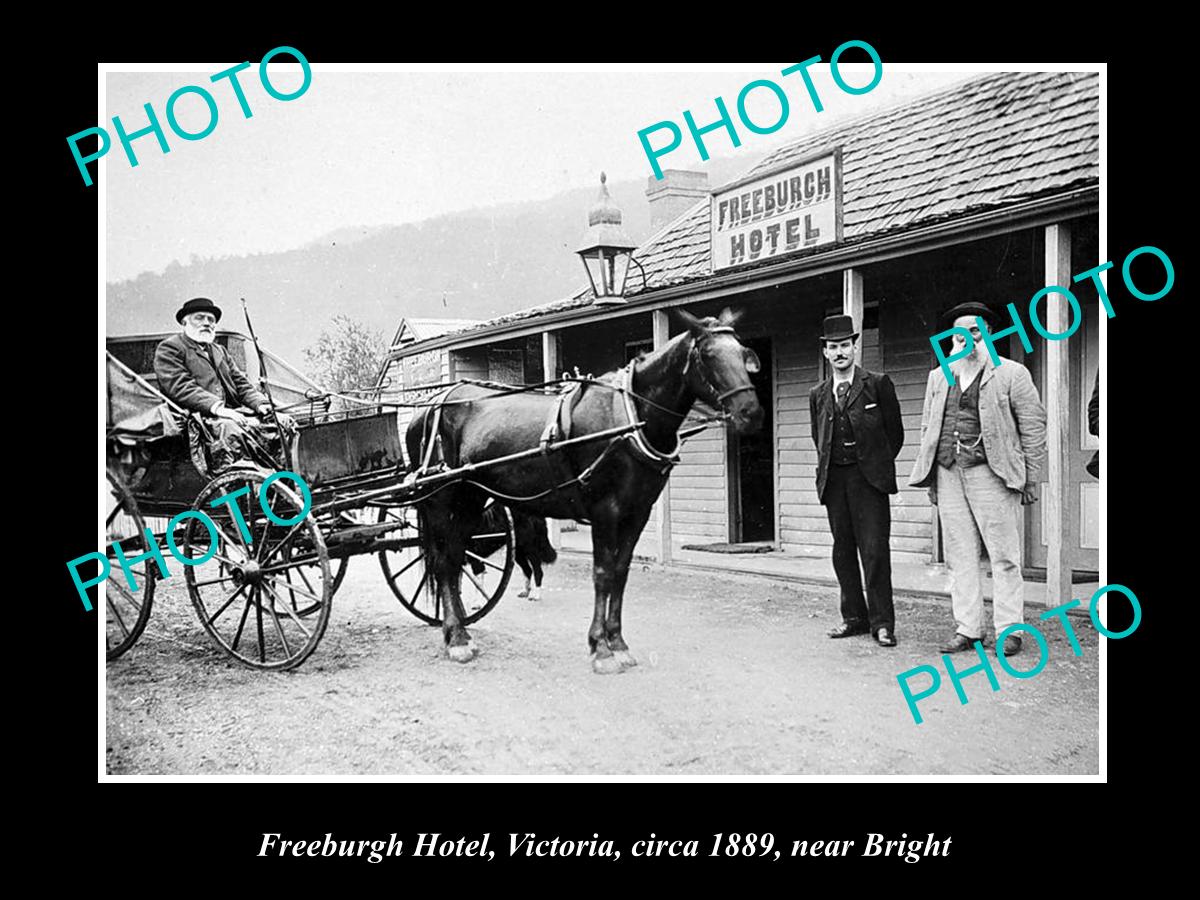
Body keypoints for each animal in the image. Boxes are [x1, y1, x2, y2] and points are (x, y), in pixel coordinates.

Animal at [408, 307, 763, 672]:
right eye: (707, 354)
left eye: (743, 352)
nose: (750, 413)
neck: (627, 419)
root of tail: (430, 407)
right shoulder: (605, 511)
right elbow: (603, 573)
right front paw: (601, 649)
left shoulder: (637, 513)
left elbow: (620, 572)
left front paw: (618, 643)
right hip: (443, 500)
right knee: (446, 563)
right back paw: (457, 638)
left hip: (471, 500)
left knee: (455, 560)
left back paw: (459, 630)